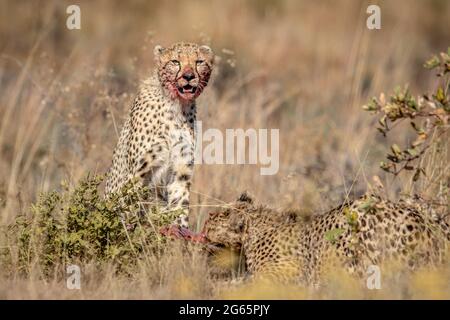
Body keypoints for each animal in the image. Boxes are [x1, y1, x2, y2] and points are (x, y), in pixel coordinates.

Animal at [104, 42, 214, 228]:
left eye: (199, 62)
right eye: (175, 61)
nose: (189, 76)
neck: (176, 105)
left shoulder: (181, 171)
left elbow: (179, 206)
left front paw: (180, 231)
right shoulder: (138, 173)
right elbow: (132, 210)